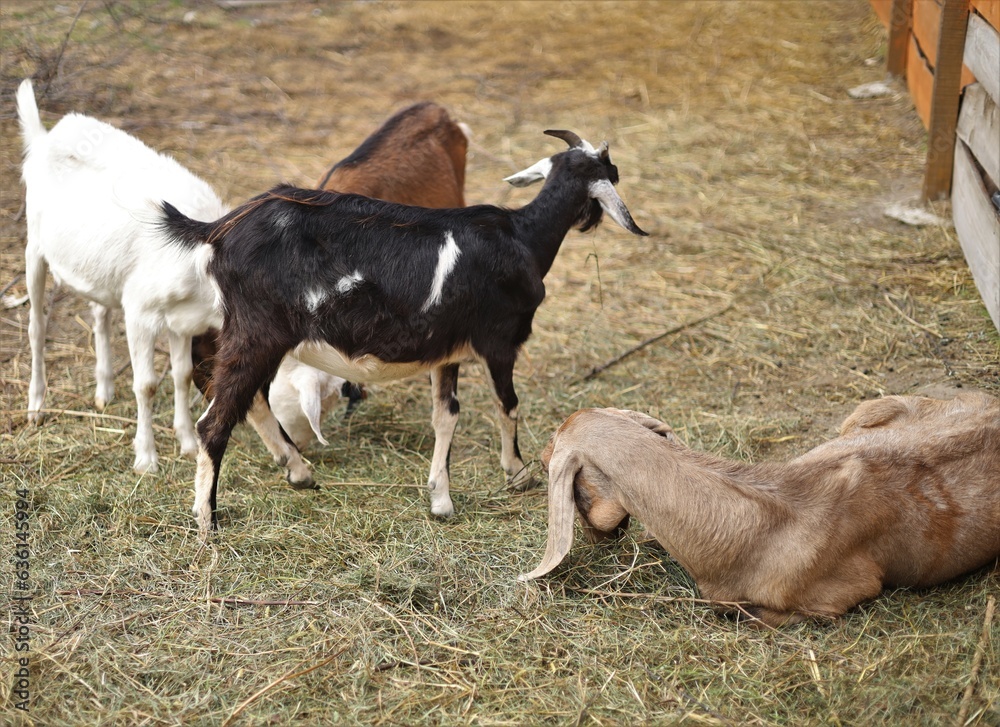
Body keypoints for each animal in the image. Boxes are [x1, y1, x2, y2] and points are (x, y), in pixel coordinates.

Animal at [16, 78, 229, 473]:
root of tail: (44, 138)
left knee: (99, 312)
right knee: (36, 327)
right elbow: (146, 384)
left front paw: (186, 442)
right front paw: (146, 458)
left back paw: (104, 389)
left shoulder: (181, 320)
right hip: (34, 247)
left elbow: (182, 374)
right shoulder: (141, 312)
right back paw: (36, 406)